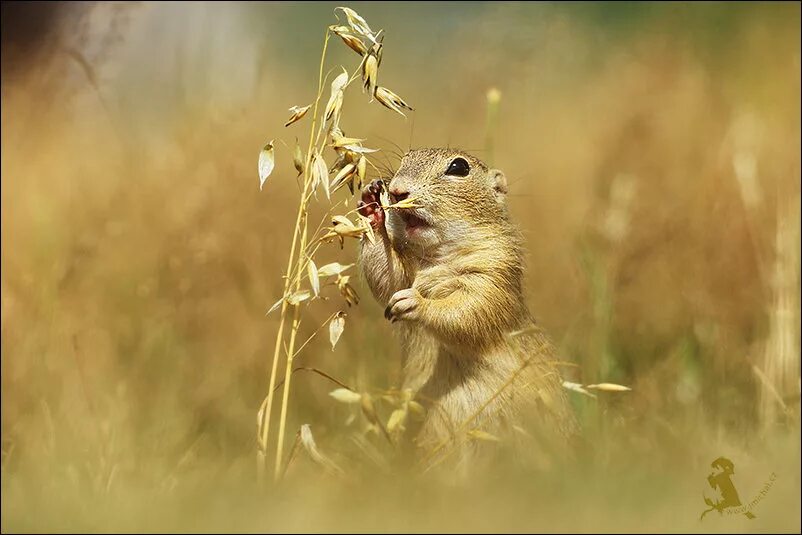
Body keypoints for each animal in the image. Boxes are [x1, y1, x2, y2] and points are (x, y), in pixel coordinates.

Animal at [356, 148, 576, 460]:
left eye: (459, 167)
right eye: (404, 158)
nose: (397, 190)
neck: (437, 257)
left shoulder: (492, 275)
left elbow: (468, 311)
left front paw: (415, 303)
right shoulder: (407, 272)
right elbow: (388, 278)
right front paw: (372, 202)